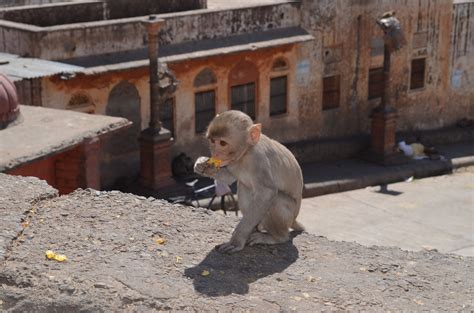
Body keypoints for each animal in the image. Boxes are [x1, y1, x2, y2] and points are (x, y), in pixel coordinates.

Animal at [193, 109, 302, 251]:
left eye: (222, 143)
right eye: (212, 140)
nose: (215, 153)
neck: (245, 154)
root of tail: (294, 218)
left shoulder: (258, 160)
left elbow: (267, 193)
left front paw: (237, 240)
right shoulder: (232, 163)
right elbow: (229, 178)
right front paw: (202, 165)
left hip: (289, 214)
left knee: (275, 200)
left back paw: (276, 237)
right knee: (244, 187)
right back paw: (254, 230)